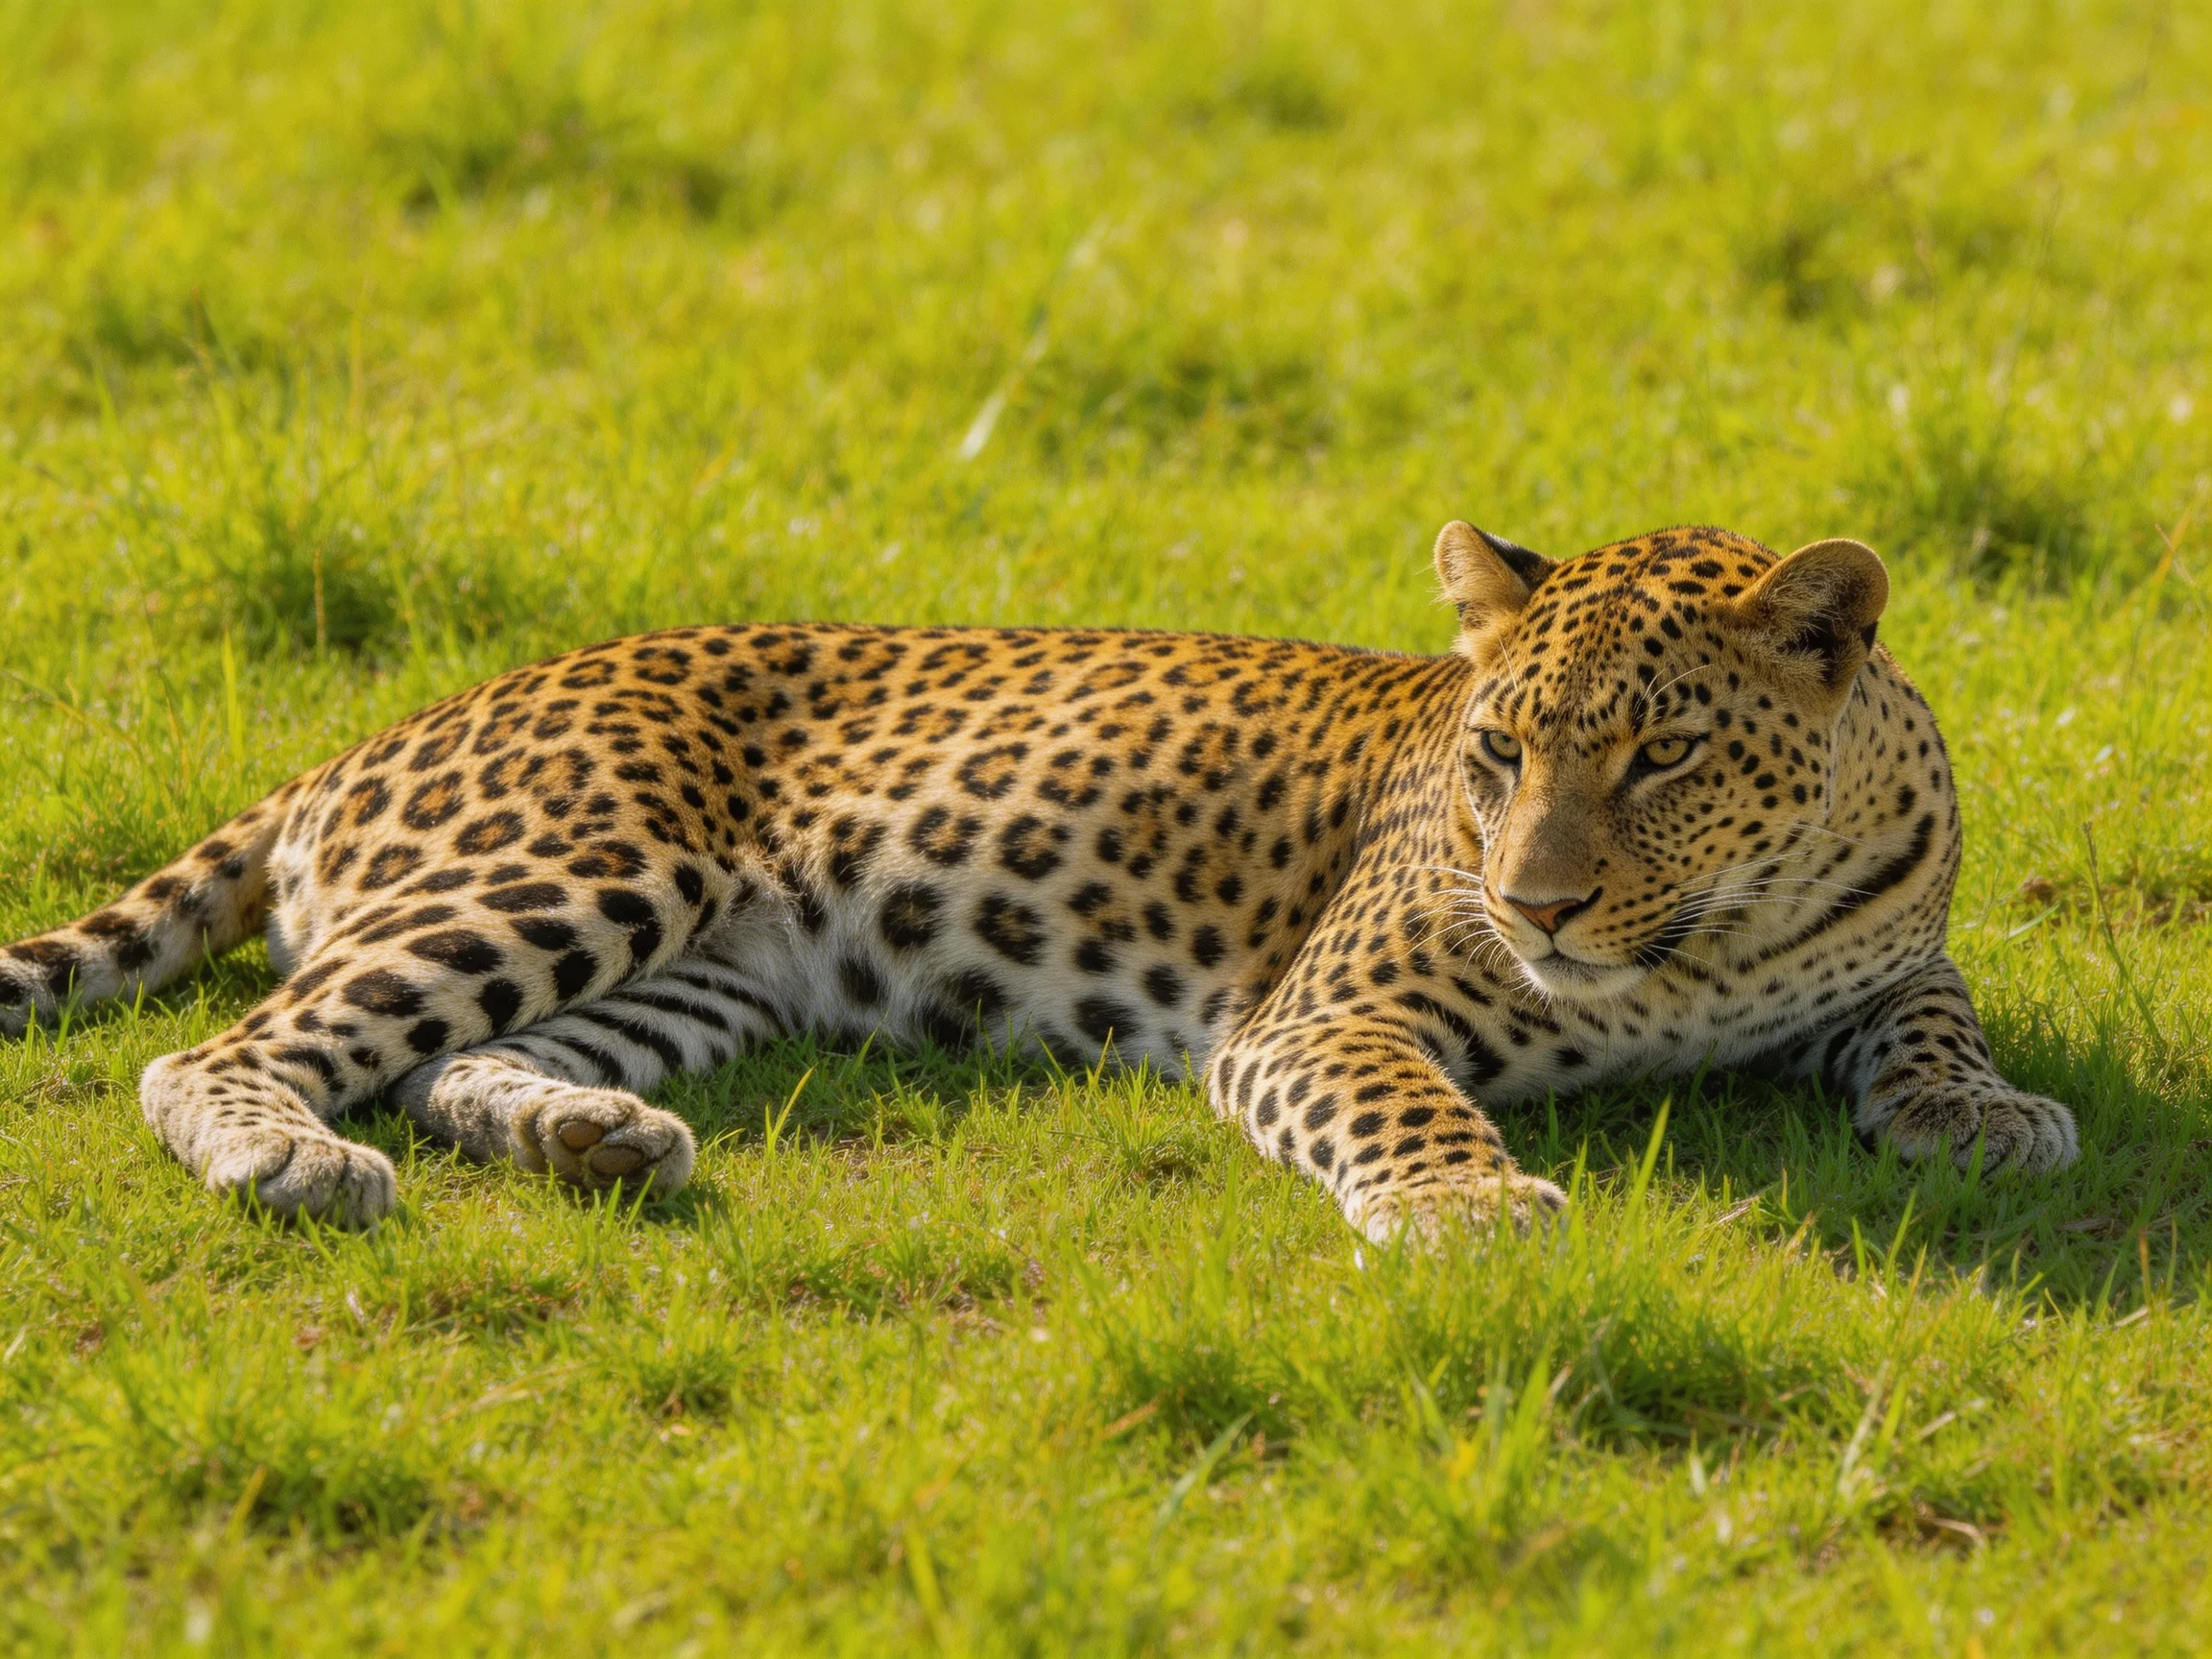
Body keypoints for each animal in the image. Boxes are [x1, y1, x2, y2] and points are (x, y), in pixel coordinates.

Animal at [0, 523, 2077, 1239]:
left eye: (1660, 756)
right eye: (1498, 755)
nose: (1541, 905)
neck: (1700, 955)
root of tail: (376, 731)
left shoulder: (1890, 950)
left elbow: (1928, 1015)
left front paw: (1983, 1115)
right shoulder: (1329, 1013)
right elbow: (1404, 1104)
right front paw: (1469, 1207)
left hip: (702, 968)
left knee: (447, 1060)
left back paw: (592, 1142)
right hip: (586, 861)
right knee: (230, 1050)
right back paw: (289, 1160)